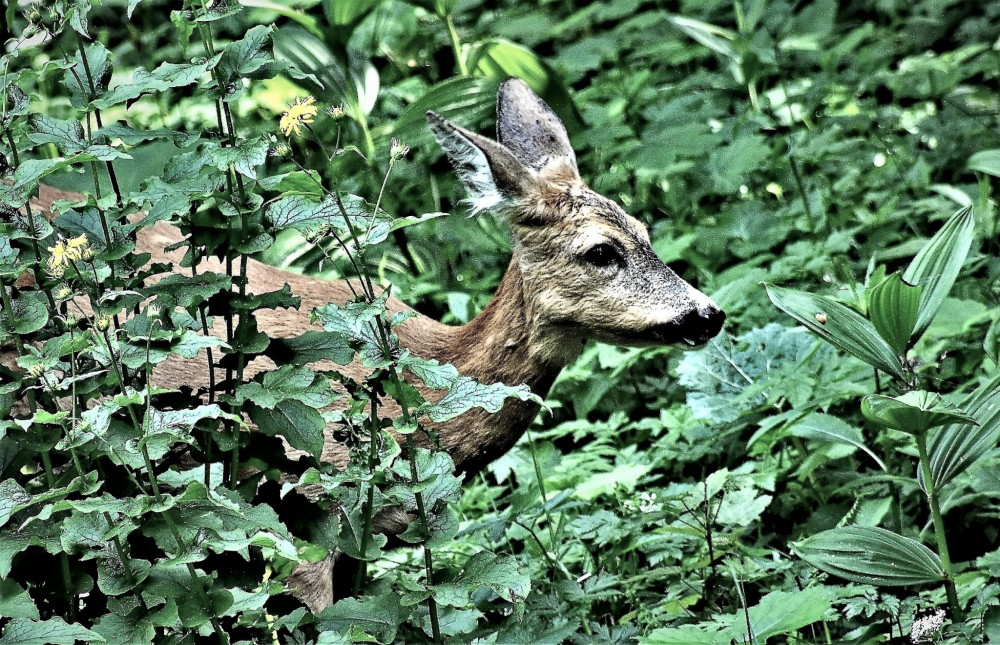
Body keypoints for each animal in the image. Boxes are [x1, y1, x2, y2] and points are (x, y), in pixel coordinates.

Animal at [5, 76, 728, 608]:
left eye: (646, 232)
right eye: (601, 251)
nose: (708, 313)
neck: (420, 385)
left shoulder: (362, 544)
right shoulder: (306, 510)